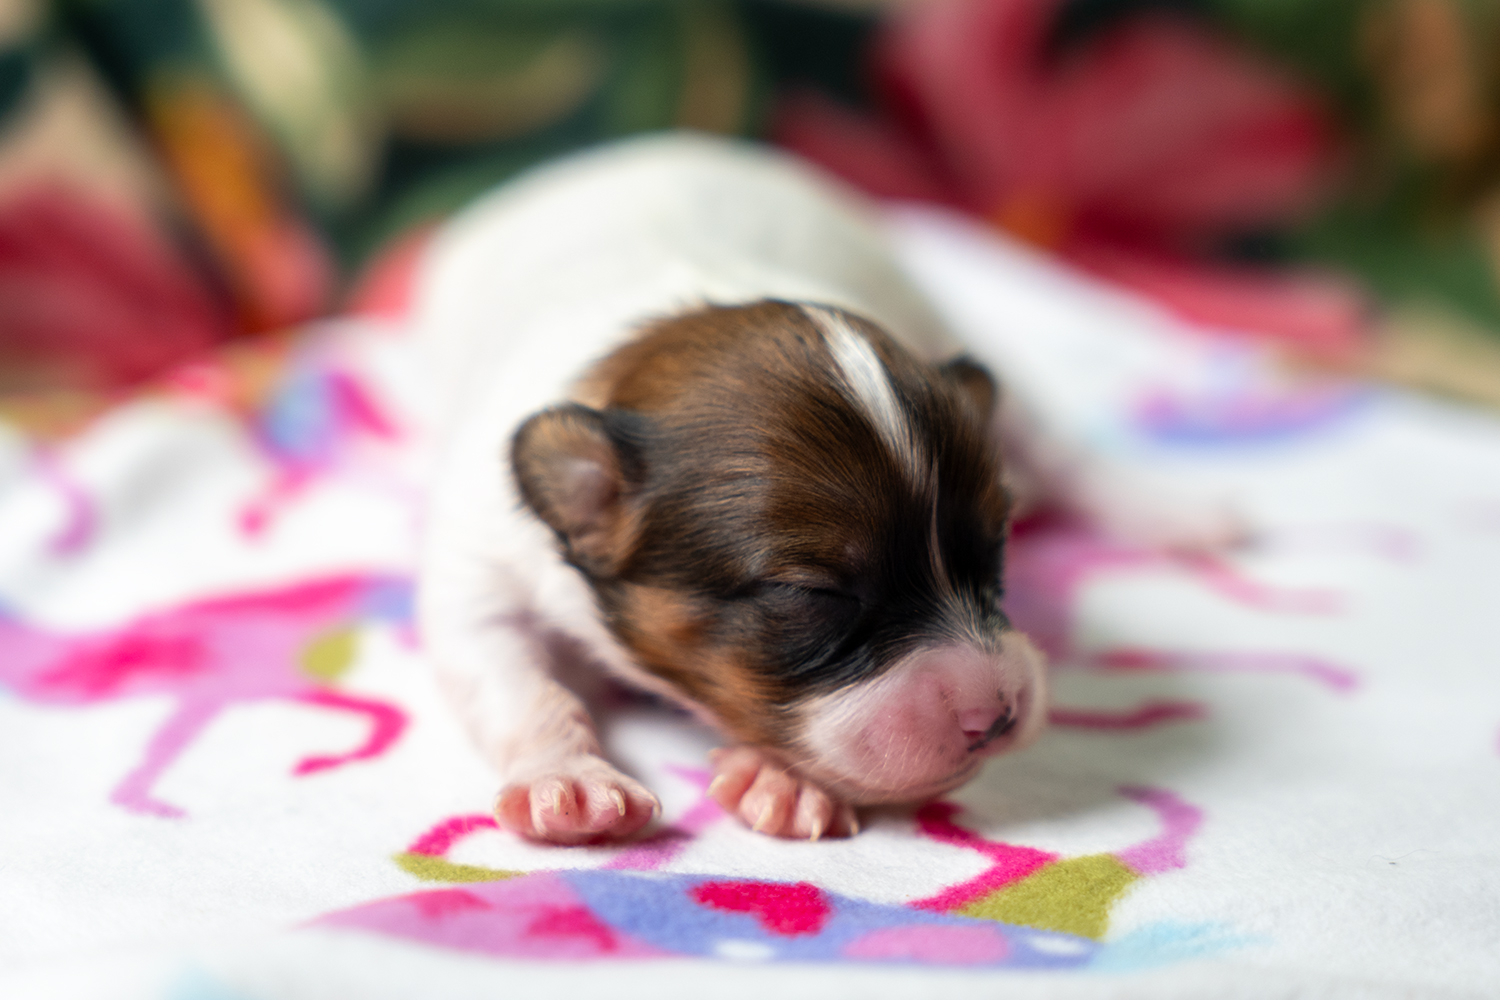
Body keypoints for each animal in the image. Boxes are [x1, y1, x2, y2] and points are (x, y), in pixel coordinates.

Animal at [413, 134, 1238, 845]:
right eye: (814, 594)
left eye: (995, 550)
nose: (996, 715)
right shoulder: (479, 568)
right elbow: (514, 681)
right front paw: (571, 781)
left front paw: (783, 779)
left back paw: (1178, 511)